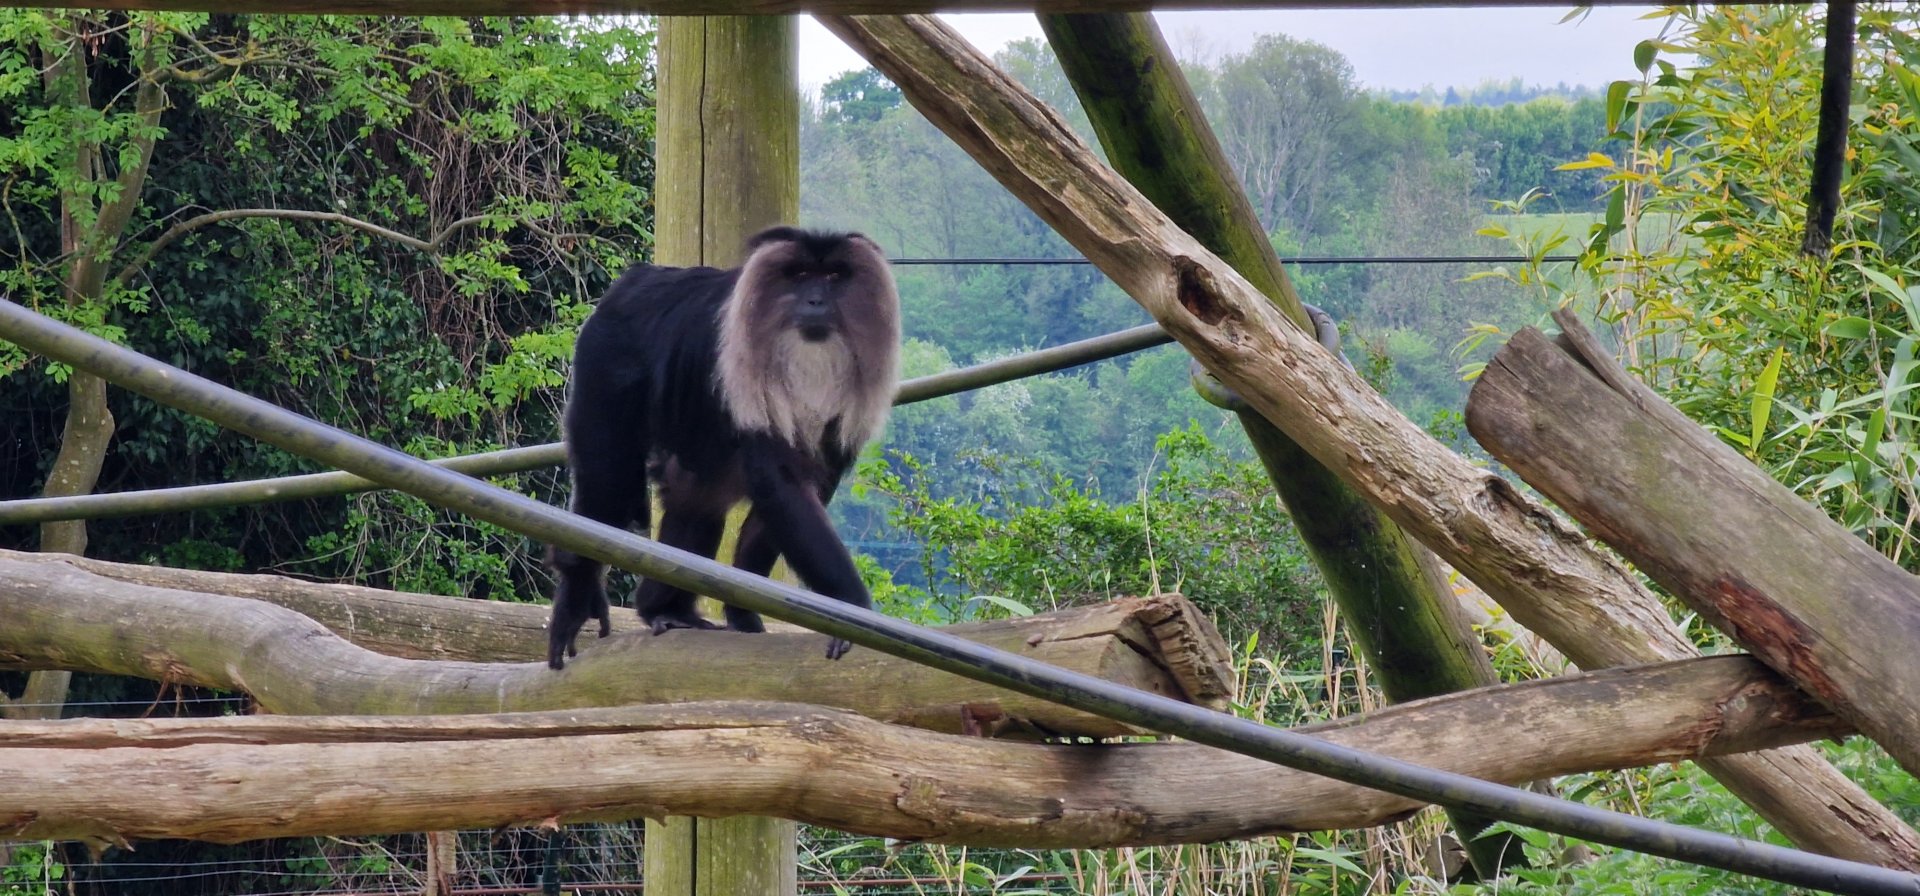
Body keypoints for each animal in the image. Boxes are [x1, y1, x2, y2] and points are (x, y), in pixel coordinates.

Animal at [544, 227, 902, 670]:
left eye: (834, 276)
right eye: (800, 275)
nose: (815, 301)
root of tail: (637, 280)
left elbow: (795, 497)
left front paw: (743, 613)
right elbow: (780, 486)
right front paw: (855, 612)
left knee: (696, 506)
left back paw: (662, 608)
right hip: (604, 361)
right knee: (605, 485)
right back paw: (579, 593)